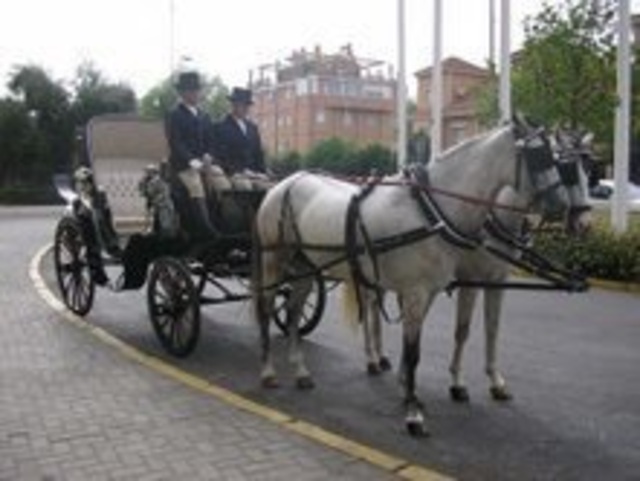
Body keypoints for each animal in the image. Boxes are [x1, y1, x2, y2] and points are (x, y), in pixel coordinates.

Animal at [252, 119, 568, 436]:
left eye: (556, 157)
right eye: (538, 155)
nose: (563, 205)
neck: (431, 209)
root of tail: (285, 183)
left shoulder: (428, 293)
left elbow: (414, 346)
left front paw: (407, 392)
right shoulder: (417, 292)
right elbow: (415, 352)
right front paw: (413, 413)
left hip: (304, 267)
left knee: (293, 312)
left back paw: (301, 371)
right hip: (273, 262)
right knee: (266, 310)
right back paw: (267, 371)